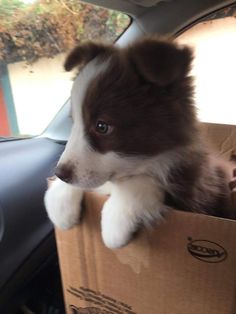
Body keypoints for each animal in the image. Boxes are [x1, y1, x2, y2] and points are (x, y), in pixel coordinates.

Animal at [43, 36, 234, 248]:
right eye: (73, 121)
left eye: (102, 126)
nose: (60, 174)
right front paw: (59, 204)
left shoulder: (194, 191)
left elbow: (143, 182)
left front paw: (115, 222)